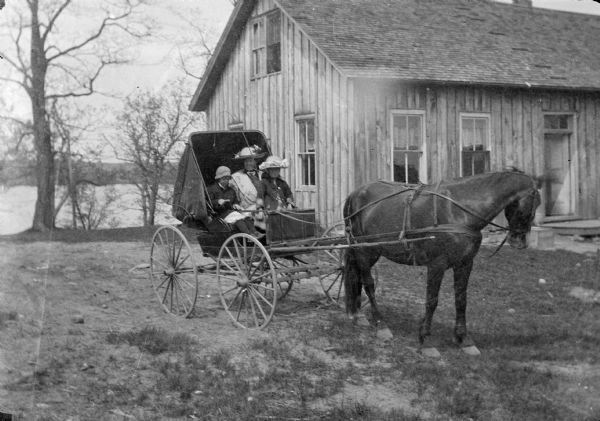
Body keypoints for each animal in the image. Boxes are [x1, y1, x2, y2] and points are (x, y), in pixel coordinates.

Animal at [340, 169, 540, 356]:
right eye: (534, 202)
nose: (520, 241)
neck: (458, 210)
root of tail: (354, 194)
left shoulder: (465, 264)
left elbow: (461, 300)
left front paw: (464, 340)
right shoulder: (437, 264)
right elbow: (432, 301)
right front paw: (426, 341)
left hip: (372, 251)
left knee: (356, 277)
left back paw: (358, 315)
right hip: (364, 251)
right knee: (369, 284)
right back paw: (381, 325)